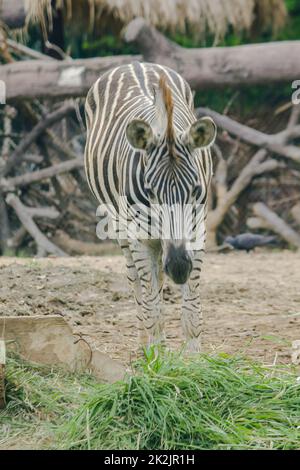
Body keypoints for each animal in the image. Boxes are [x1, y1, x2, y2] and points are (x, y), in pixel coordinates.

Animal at [84, 60, 216, 350]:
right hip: (120, 226)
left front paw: (195, 356)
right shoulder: (138, 235)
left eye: (195, 190)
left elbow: (191, 305)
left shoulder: (196, 230)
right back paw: (145, 345)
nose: (178, 266)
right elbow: (152, 302)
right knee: (137, 284)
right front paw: (155, 357)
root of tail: (134, 63)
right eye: (150, 191)